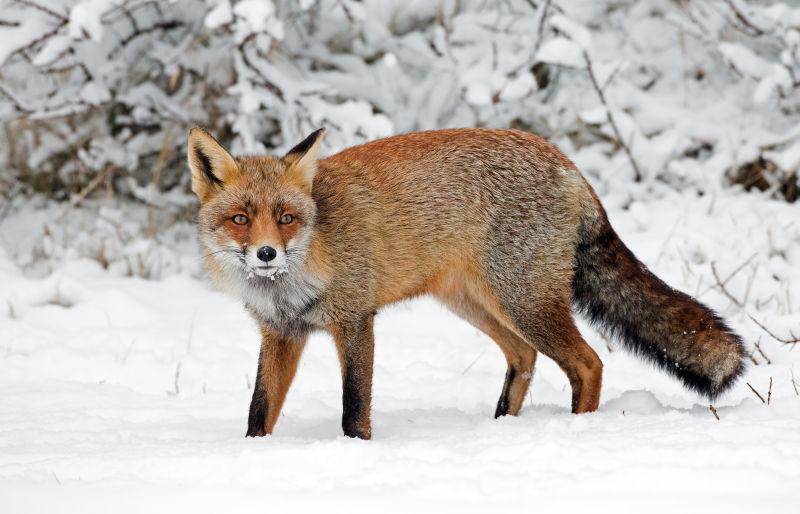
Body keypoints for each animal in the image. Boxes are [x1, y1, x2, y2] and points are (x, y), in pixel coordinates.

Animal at [186, 126, 744, 438]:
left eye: (286, 218)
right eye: (240, 219)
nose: (266, 254)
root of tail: (566, 162)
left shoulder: (355, 320)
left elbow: (354, 409)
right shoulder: (281, 333)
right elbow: (259, 412)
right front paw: (255, 456)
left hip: (524, 302)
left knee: (588, 363)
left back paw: (576, 429)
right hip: (475, 304)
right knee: (524, 358)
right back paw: (500, 428)